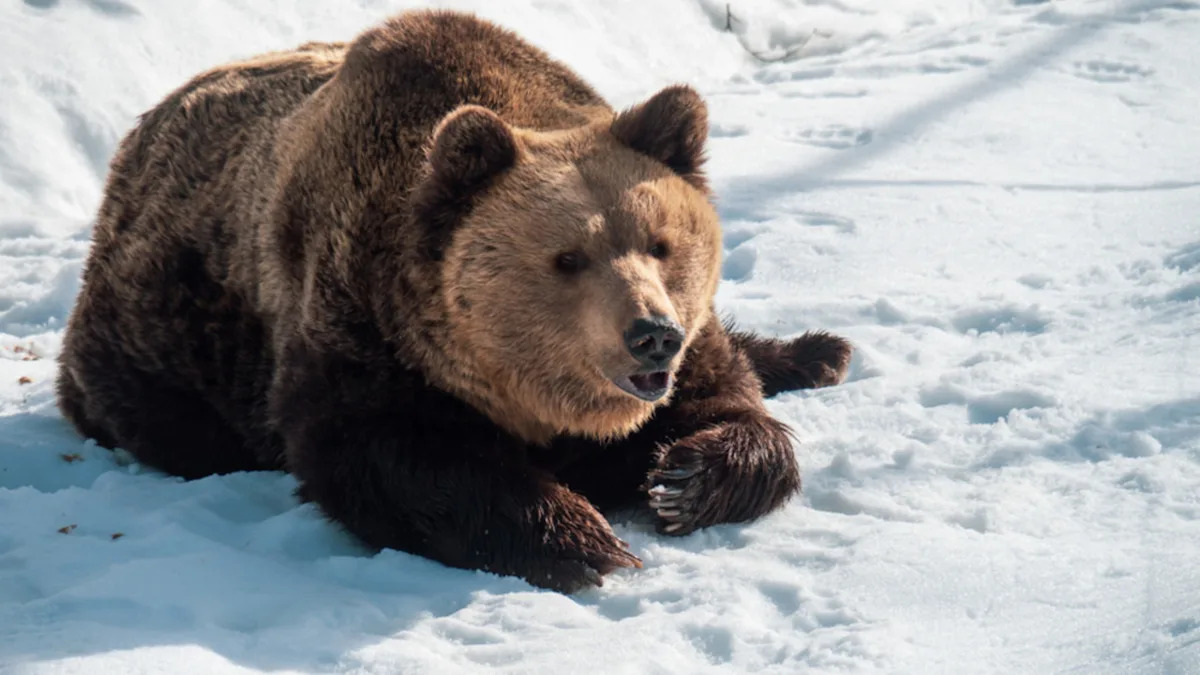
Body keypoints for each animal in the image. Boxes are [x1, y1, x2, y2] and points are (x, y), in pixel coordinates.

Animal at [57, 10, 852, 592]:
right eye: (568, 258)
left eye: (660, 243)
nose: (651, 333)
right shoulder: (365, 326)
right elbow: (387, 451)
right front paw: (584, 539)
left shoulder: (687, 352)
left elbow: (732, 407)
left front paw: (681, 479)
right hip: (156, 335)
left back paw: (820, 351)